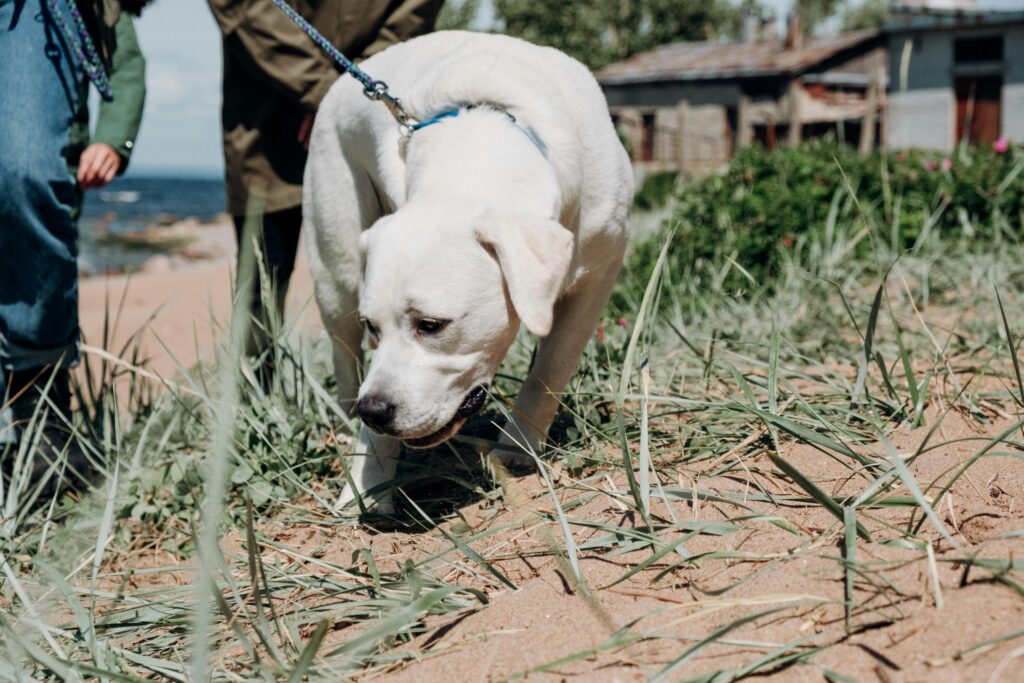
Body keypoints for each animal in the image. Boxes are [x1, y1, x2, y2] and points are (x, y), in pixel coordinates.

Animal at [303, 30, 630, 511]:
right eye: (373, 326)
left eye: (431, 325)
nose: (374, 411)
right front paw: (367, 485)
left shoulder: (597, 276)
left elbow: (550, 368)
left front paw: (519, 445)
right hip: (336, 271)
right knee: (344, 354)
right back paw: (346, 426)